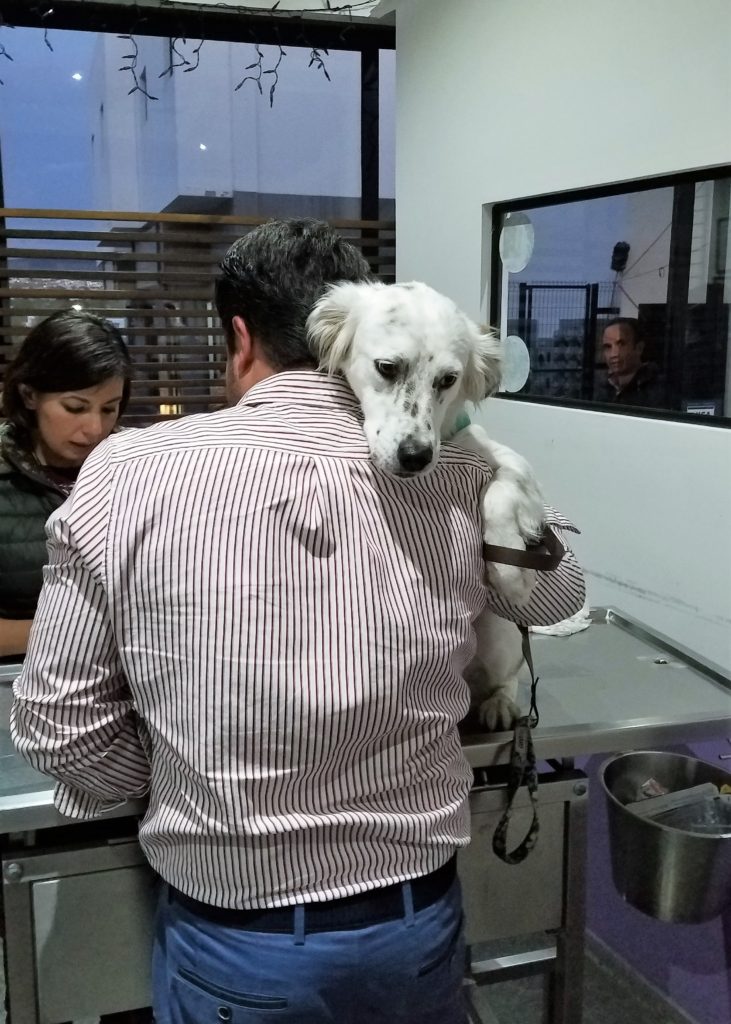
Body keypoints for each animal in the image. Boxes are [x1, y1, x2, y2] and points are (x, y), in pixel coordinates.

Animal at [305, 278, 544, 729]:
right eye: (387, 367)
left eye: (448, 379)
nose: (416, 456)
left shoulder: (503, 459)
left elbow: (502, 490)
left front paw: (510, 572)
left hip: (499, 635)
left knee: (508, 676)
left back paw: (500, 704)